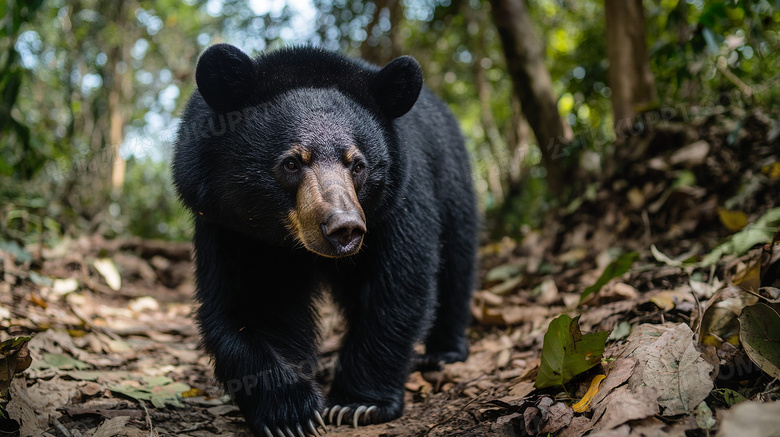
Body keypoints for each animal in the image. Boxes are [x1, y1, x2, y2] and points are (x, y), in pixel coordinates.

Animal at [174, 45, 478, 436]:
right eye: (291, 163)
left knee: (456, 260)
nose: (345, 228)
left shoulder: (397, 203)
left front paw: (358, 404)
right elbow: (253, 304)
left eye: (358, 165)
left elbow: (397, 285)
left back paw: (443, 352)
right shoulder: (232, 225)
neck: (287, 238)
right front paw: (289, 413)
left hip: (452, 179)